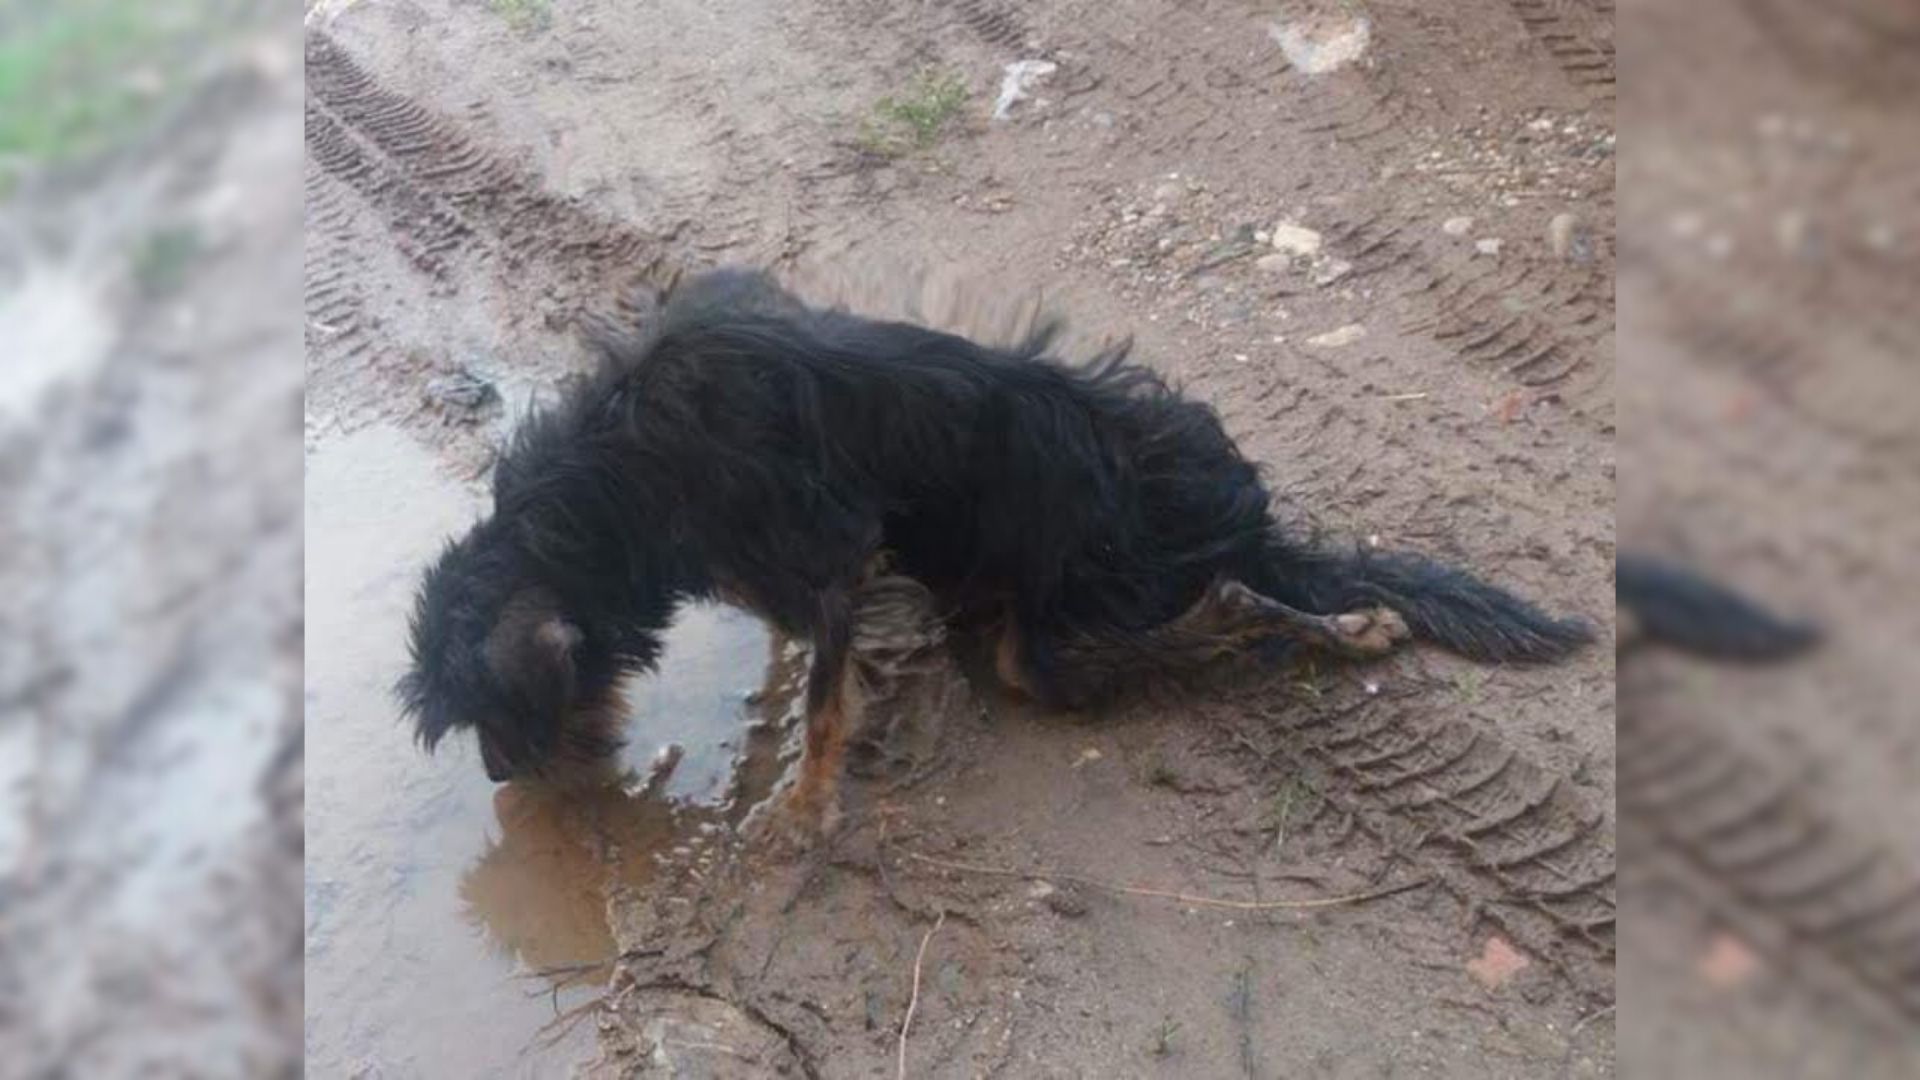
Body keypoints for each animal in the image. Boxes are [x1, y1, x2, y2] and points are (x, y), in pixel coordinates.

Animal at [401, 269, 1589, 822]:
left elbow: (825, 705)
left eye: (501, 715)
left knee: (1187, 619)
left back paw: (1326, 621)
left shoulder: (831, 550)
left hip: (1084, 586)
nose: (502, 781)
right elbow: (807, 663)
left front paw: (801, 812)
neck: (608, 485)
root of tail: (1242, 516)